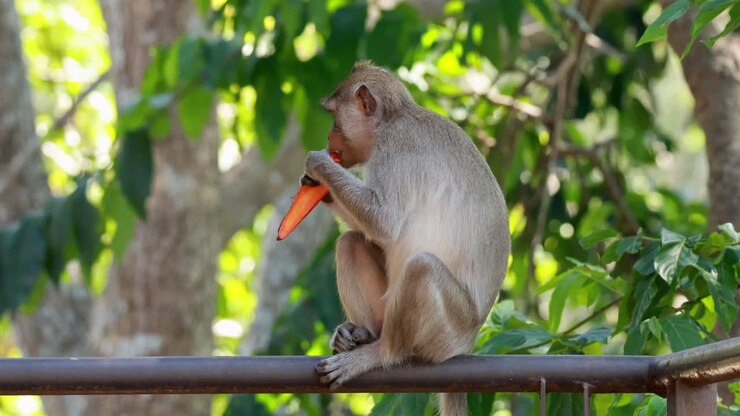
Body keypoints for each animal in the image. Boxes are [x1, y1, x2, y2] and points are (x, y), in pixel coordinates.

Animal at [302, 61, 510, 416]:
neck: (394, 118)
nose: (329, 137)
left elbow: (384, 222)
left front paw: (318, 164)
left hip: (447, 332)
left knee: (421, 268)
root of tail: (465, 343)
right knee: (350, 242)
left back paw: (379, 353)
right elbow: (375, 233)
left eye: (333, 116)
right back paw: (362, 333)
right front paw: (320, 188)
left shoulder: (393, 151)